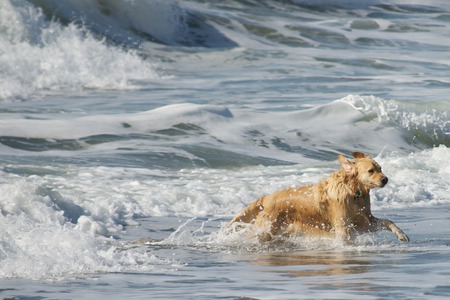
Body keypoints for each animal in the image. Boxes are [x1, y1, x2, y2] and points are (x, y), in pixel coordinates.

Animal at [230, 151, 410, 243]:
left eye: (380, 168)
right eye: (371, 171)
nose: (385, 179)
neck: (354, 193)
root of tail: (267, 198)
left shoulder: (364, 221)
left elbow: (388, 221)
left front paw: (401, 234)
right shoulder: (343, 227)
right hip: (265, 229)